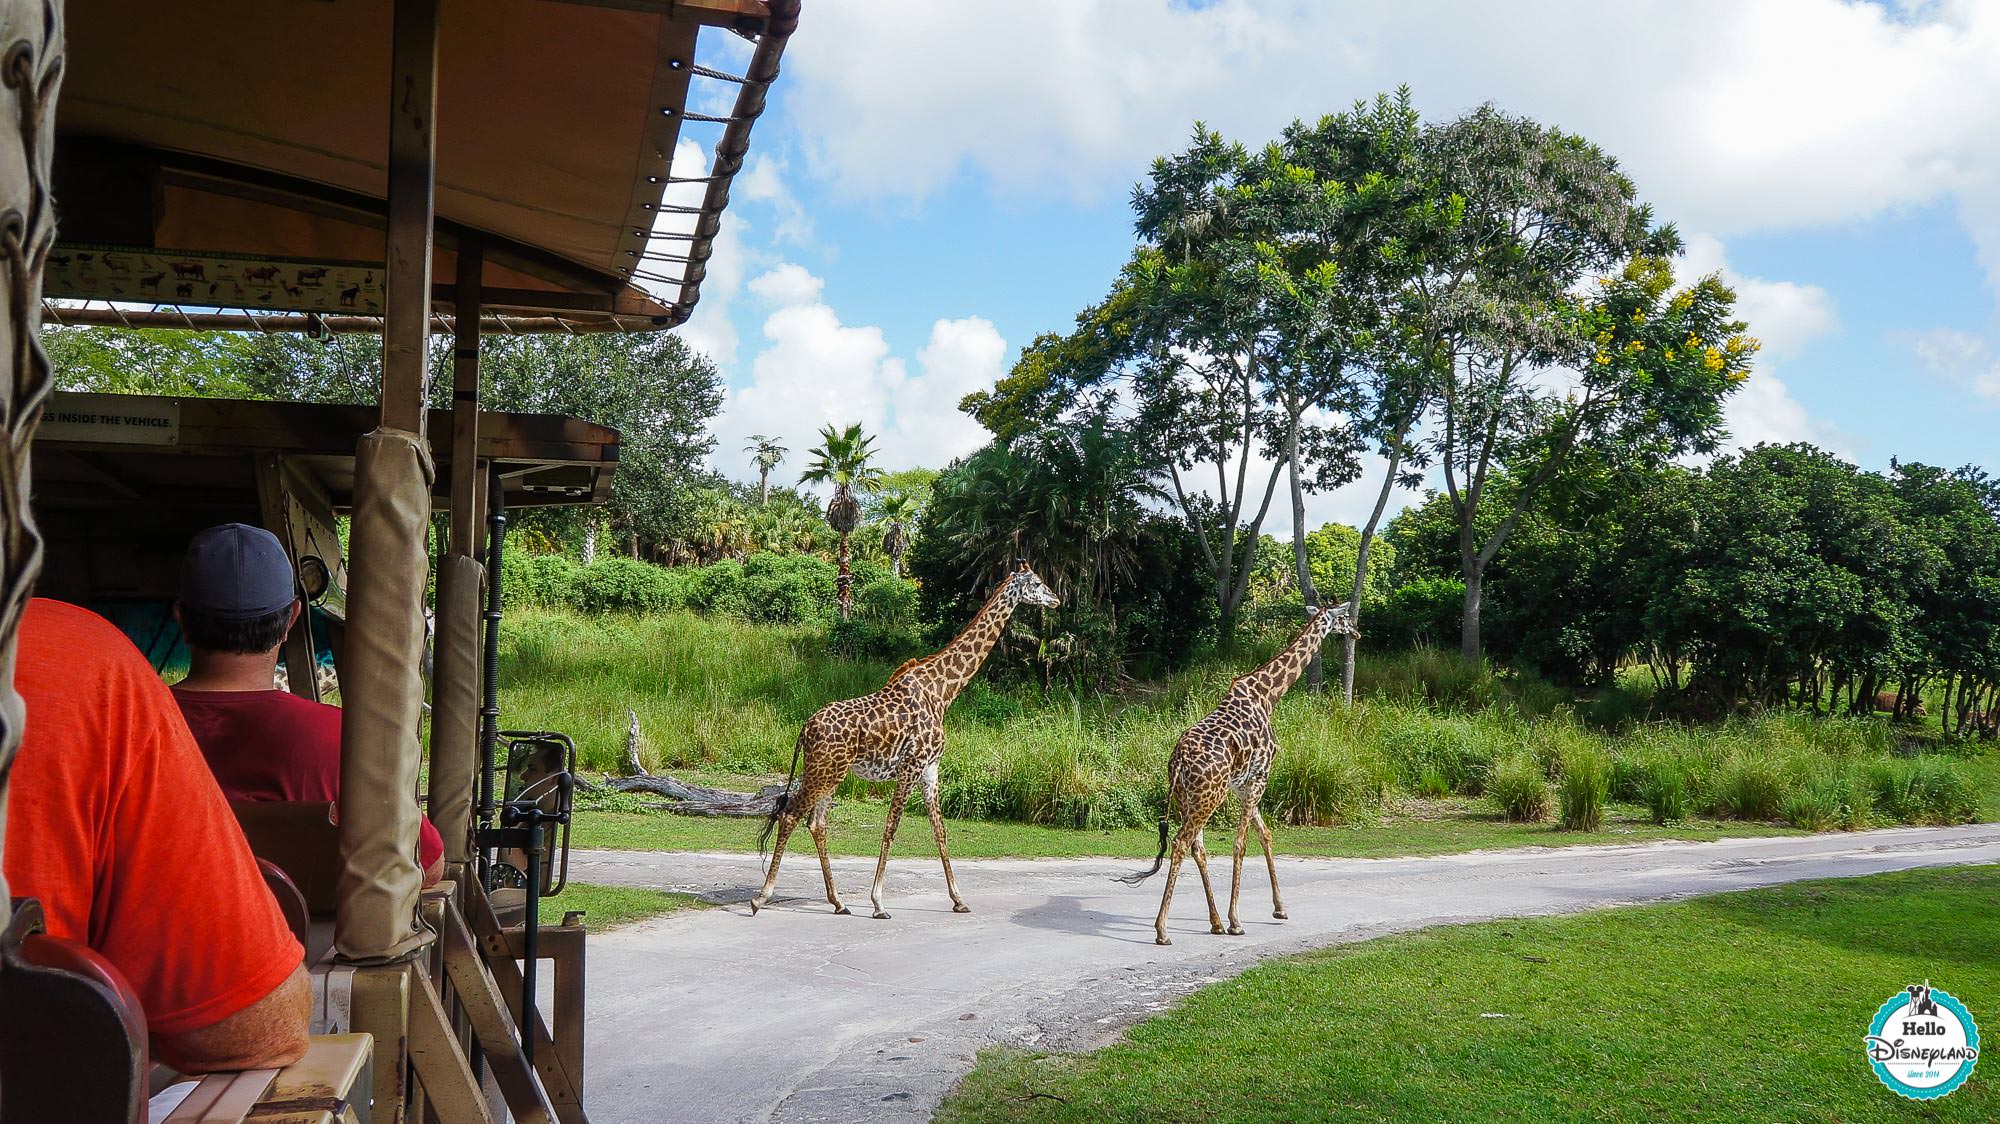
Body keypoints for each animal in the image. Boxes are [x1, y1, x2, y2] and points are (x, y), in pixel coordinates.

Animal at [752, 556, 1064, 916]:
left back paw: (838, 902)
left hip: (830, 773)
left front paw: (959, 900)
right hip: (824, 772)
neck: (943, 691)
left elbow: (940, 831)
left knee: (816, 823)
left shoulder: (930, 769)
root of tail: (805, 729)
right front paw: (878, 902)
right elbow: (891, 828)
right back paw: (761, 897)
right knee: (790, 815)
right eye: (1037, 583)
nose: (1056, 599)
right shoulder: (911, 766)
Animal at [1128, 600, 1360, 940]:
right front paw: (1237, 920)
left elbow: (1265, 834)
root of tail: (1178, 761)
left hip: (1188, 798)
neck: (1268, 694)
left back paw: (1214, 923)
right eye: (1343, 617)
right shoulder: (1260, 776)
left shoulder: (1242, 785)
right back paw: (1163, 930)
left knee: (1197, 847)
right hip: (1208, 797)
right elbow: (1241, 843)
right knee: (1182, 843)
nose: (1357, 631)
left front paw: (1279, 909)